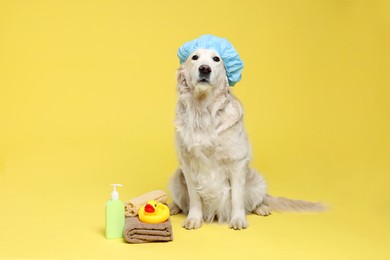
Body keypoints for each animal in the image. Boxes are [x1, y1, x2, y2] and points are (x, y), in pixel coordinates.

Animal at [169, 48, 324, 230]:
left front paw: (238, 219)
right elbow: (194, 196)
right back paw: (172, 207)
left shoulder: (237, 162)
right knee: (182, 202)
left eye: (216, 59)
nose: (205, 69)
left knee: (254, 201)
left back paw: (262, 208)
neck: (204, 110)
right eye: (195, 57)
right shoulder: (188, 163)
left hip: (256, 181)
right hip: (176, 179)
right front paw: (194, 218)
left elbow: (237, 196)